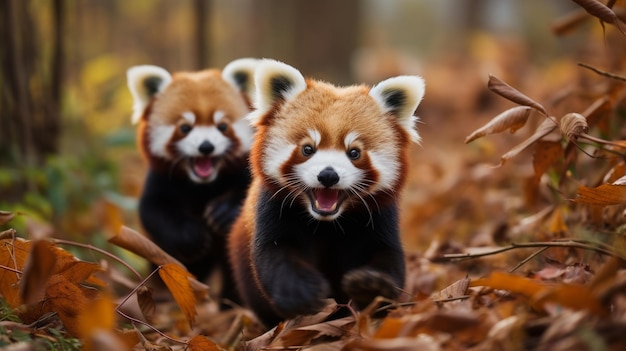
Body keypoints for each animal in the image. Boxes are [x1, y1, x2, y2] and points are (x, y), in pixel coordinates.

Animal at [126, 57, 256, 302]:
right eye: (185, 128)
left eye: (222, 126)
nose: (206, 147)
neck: (202, 186)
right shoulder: (161, 179)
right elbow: (153, 210)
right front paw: (190, 236)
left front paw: (223, 212)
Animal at [227, 58, 426, 328]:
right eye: (307, 149)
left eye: (354, 152)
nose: (328, 175)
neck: (327, 223)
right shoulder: (272, 207)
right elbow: (273, 253)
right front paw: (300, 290)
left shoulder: (379, 215)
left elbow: (389, 257)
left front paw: (371, 285)